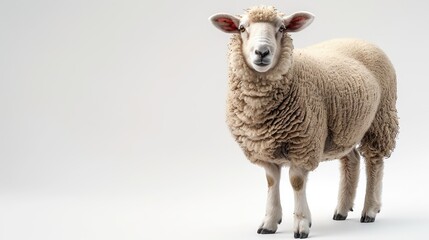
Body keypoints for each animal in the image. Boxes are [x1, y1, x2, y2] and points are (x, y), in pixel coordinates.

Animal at [209, 5, 400, 238]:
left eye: (282, 28)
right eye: (242, 28)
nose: (262, 52)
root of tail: (362, 40)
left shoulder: (303, 143)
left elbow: (296, 182)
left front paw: (301, 224)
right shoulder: (264, 148)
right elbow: (272, 181)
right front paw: (269, 222)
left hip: (381, 118)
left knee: (374, 162)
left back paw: (370, 209)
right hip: (343, 127)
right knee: (351, 160)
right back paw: (342, 209)